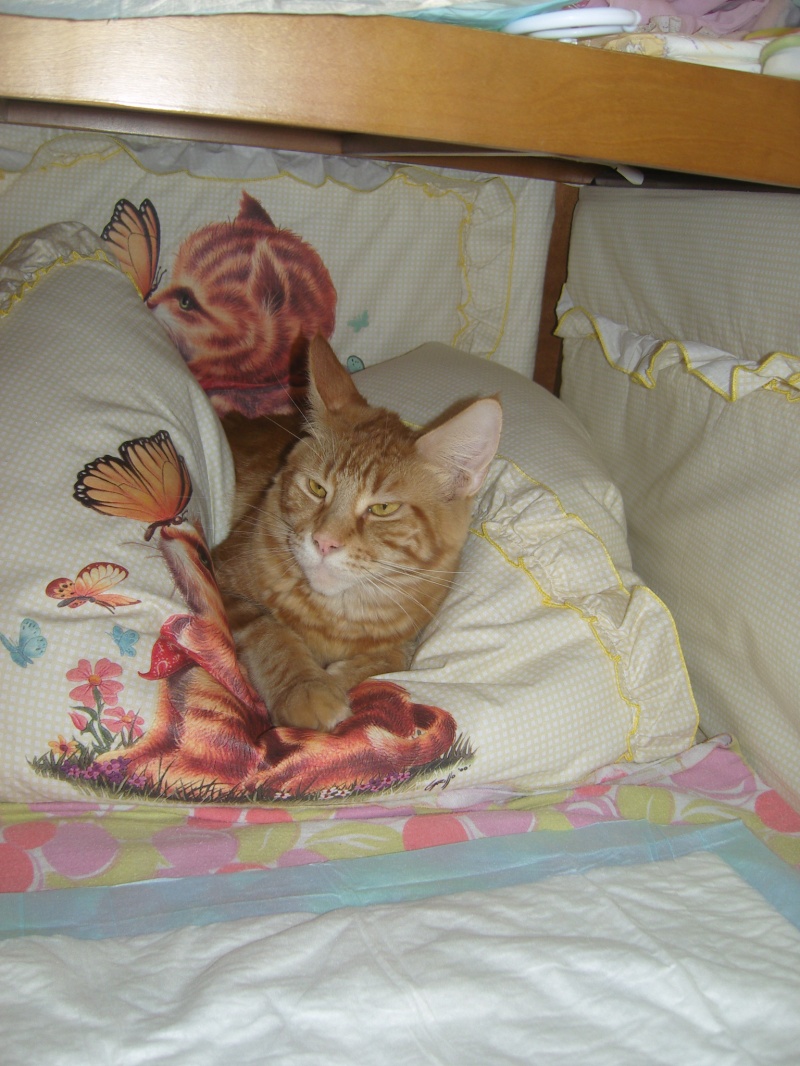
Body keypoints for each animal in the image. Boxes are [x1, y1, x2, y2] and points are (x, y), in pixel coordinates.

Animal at [213, 335, 503, 731]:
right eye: (317, 488)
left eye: (382, 509)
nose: (324, 542)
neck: (339, 616)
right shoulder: (220, 577)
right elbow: (267, 630)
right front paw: (305, 688)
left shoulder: (405, 641)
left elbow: (391, 659)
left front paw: (336, 678)